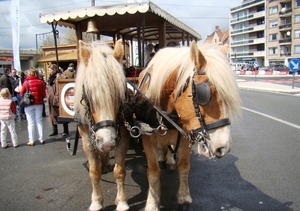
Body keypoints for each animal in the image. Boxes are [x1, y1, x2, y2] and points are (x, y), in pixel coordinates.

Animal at [74, 40, 130, 211]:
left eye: (120, 95)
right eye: (88, 96)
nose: (107, 143)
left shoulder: (122, 138)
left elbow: (119, 171)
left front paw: (122, 201)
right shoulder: (87, 140)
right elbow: (94, 171)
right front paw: (97, 201)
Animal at [137, 40, 240, 209]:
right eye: (204, 95)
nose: (224, 148)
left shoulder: (186, 135)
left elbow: (184, 166)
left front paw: (184, 196)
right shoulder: (147, 138)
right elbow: (153, 171)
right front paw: (152, 203)